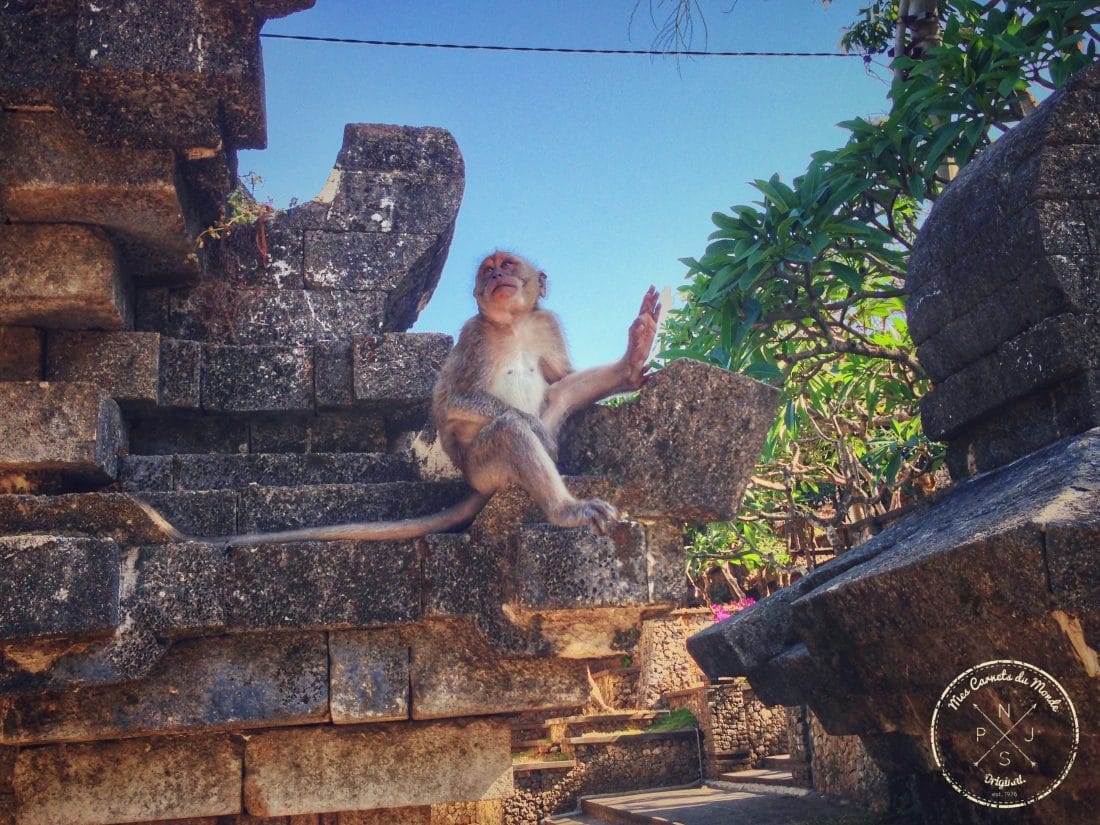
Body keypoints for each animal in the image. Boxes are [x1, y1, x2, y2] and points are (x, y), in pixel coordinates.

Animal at [143, 251, 660, 550]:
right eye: (487, 270)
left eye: (508, 265)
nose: (496, 273)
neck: (512, 324)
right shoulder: (474, 337)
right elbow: (454, 400)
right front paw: (528, 426)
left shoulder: (544, 324)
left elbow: (563, 379)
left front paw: (631, 359)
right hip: (484, 468)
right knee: (510, 432)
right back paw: (563, 507)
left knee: (558, 398)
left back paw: (629, 363)